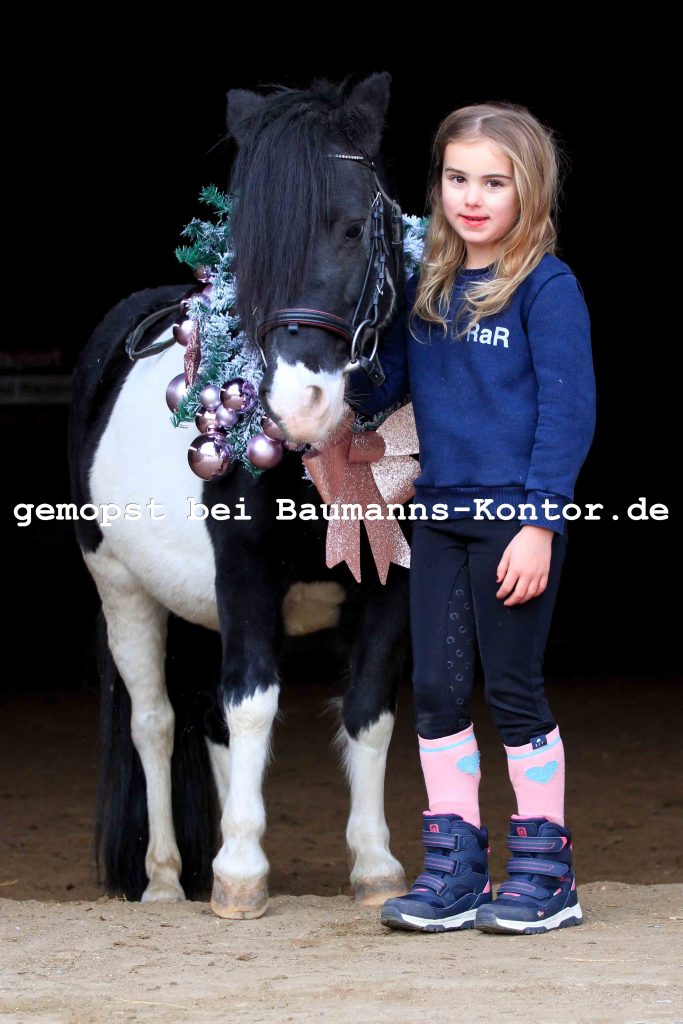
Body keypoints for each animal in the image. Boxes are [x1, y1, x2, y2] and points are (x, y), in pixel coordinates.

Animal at [68, 72, 415, 920]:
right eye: (248, 249)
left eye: (354, 228)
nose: (297, 404)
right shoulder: (246, 581)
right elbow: (254, 705)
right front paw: (239, 877)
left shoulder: (388, 589)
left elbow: (368, 711)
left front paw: (374, 867)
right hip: (122, 588)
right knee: (157, 724)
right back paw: (166, 879)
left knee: (210, 723)